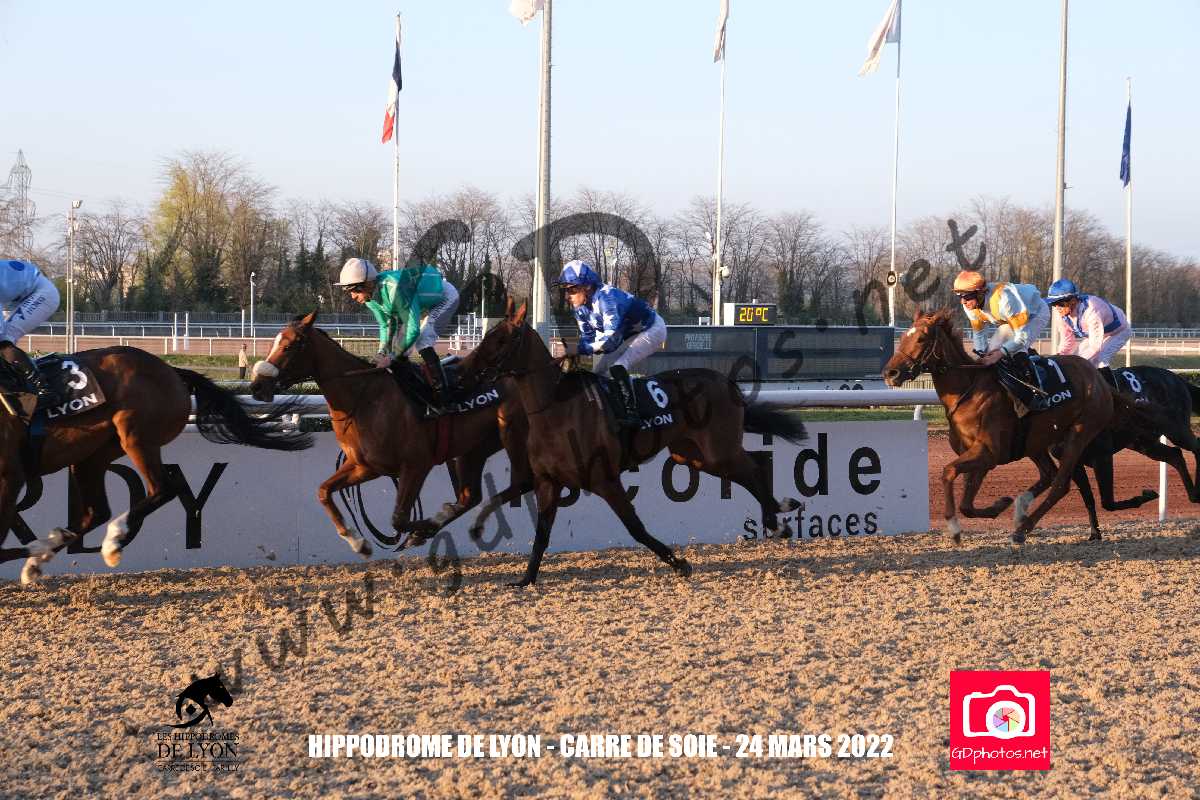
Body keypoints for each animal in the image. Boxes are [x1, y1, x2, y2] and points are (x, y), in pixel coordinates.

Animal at [1, 347, 311, 584]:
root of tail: (172, 371)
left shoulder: (10, 477)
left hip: (136, 436)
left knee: (162, 489)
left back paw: (111, 541)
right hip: (93, 454)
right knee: (96, 512)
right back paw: (37, 560)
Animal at [248, 311, 532, 557]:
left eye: (290, 346)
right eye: (273, 342)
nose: (257, 386)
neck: (365, 399)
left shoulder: (416, 465)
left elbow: (399, 519)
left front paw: (422, 530)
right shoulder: (366, 466)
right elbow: (323, 491)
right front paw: (358, 542)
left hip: (512, 439)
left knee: (520, 483)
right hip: (474, 449)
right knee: (470, 496)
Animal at [453, 300, 806, 586]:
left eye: (500, 339)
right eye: (485, 335)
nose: (462, 372)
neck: (554, 409)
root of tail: (728, 382)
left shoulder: (604, 479)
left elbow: (635, 526)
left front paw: (679, 563)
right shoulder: (548, 482)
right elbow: (541, 534)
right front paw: (525, 578)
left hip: (718, 450)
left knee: (755, 467)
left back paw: (778, 518)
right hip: (693, 456)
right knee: (750, 469)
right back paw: (778, 517)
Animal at [883, 307, 1135, 545]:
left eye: (921, 338)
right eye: (902, 336)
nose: (890, 373)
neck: (969, 392)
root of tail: (1100, 380)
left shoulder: (989, 452)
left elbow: (948, 472)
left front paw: (954, 529)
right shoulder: (978, 455)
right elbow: (967, 504)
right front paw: (1000, 504)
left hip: (1079, 433)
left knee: (1060, 483)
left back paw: (1022, 529)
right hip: (1036, 442)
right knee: (1049, 475)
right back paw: (1021, 510)